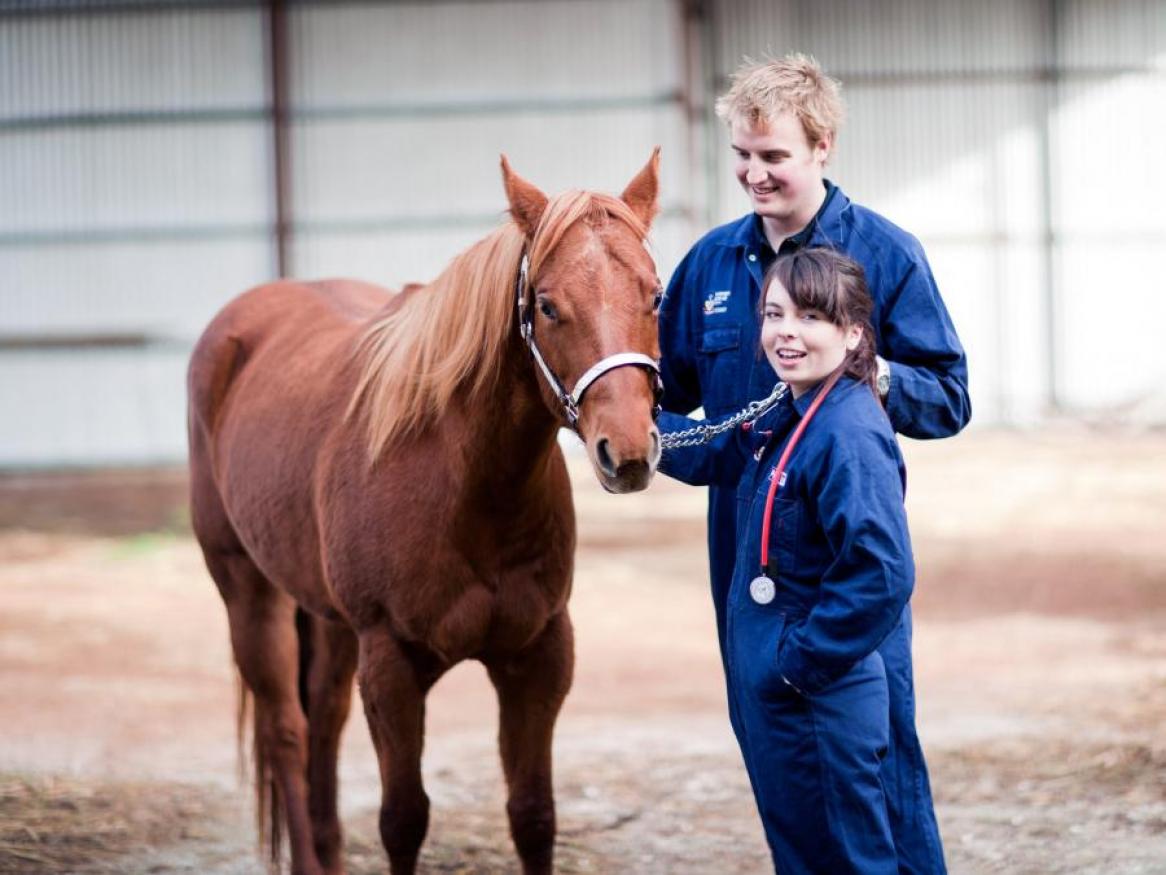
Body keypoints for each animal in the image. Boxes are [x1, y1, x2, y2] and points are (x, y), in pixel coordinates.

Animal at [191, 154, 666, 872]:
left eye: (656, 294)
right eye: (548, 305)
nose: (628, 451)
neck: (466, 486)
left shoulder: (542, 653)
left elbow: (534, 815)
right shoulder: (391, 662)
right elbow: (403, 819)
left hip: (330, 619)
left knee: (323, 720)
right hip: (247, 590)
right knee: (287, 732)